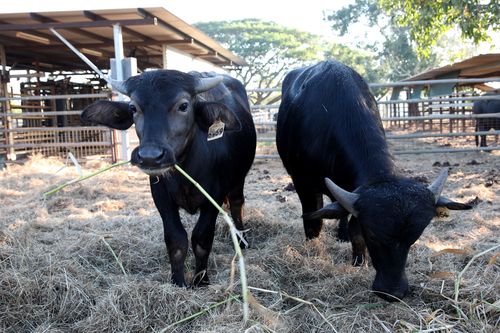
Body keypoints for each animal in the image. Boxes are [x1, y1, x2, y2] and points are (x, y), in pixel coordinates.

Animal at [82, 70, 256, 286]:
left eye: (183, 106)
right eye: (133, 107)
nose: (150, 156)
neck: (186, 172)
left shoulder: (213, 197)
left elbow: (202, 238)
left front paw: (201, 280)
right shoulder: (161, 197)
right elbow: (176, 239)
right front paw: (178, 281)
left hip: (238, 180)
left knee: (236, 204)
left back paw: (241, 240)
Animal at [276, 60, 470, 300]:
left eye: (414, 237)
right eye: (374, 235)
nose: (393, 292)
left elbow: (353, 227)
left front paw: (359, 261)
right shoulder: (303, 183)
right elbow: (314, 222)